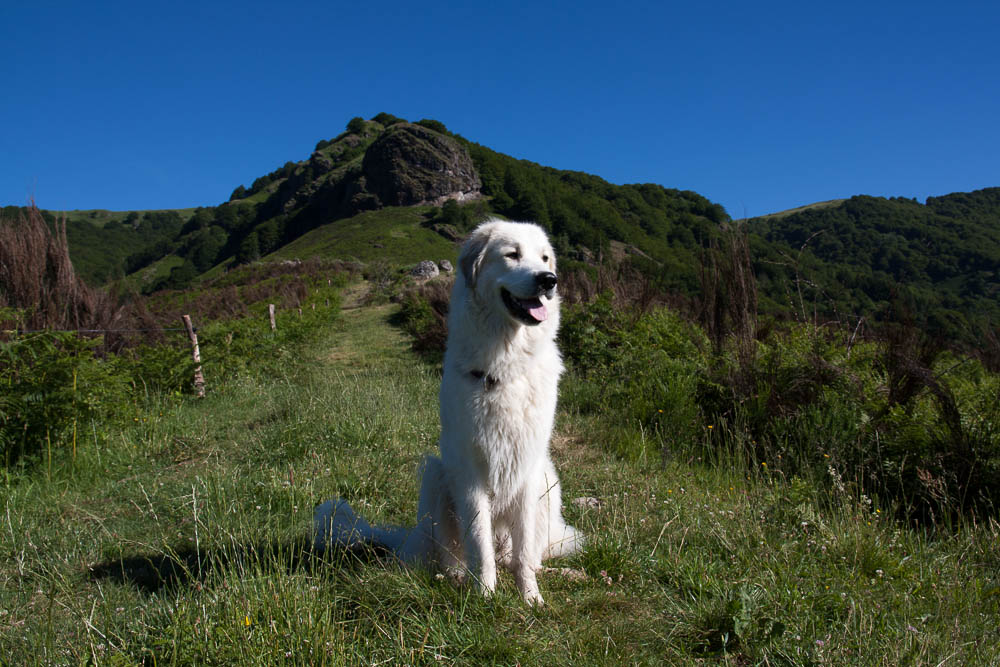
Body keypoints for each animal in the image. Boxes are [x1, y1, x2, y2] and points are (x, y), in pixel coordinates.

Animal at [316, 219, 584, 604]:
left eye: (545, 258)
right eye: (512, 254)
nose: (549, 280)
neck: (506, 362)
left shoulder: (527, 469)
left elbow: (522, 556)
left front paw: (531, 598)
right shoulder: (469, 472)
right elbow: (479, 544)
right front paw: (484, 597)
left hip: (549, 480)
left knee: (524, 554)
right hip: (435, 476)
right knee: (450, 557)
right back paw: (455, 578)